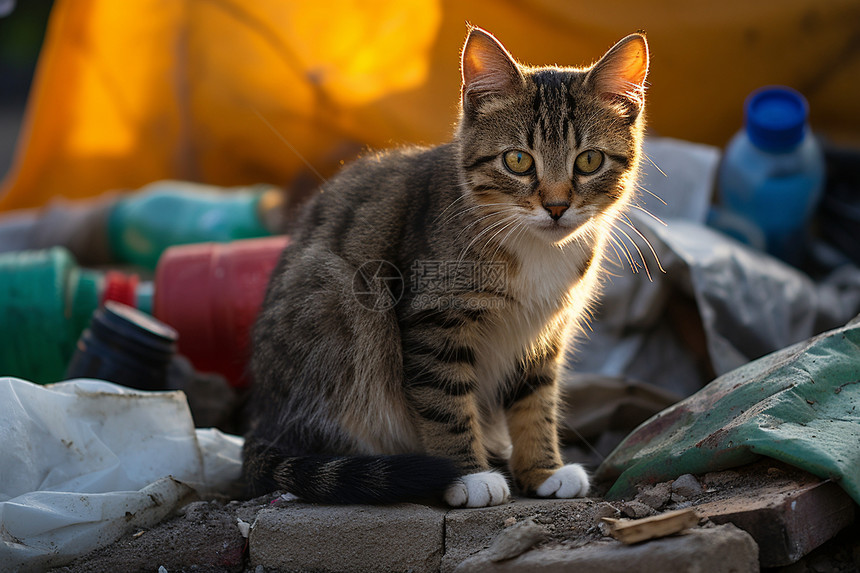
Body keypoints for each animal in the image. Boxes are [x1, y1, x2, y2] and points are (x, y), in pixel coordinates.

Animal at [242, 25, 644, 504]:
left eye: (589, 160)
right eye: (517, 160)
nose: (557, 206)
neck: (535, 248)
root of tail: (262, 418)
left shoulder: (545, 330)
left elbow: (536, 399)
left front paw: (543, 471)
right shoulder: (433, 317)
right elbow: (445, 399)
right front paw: (467, 476)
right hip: (335, 306)